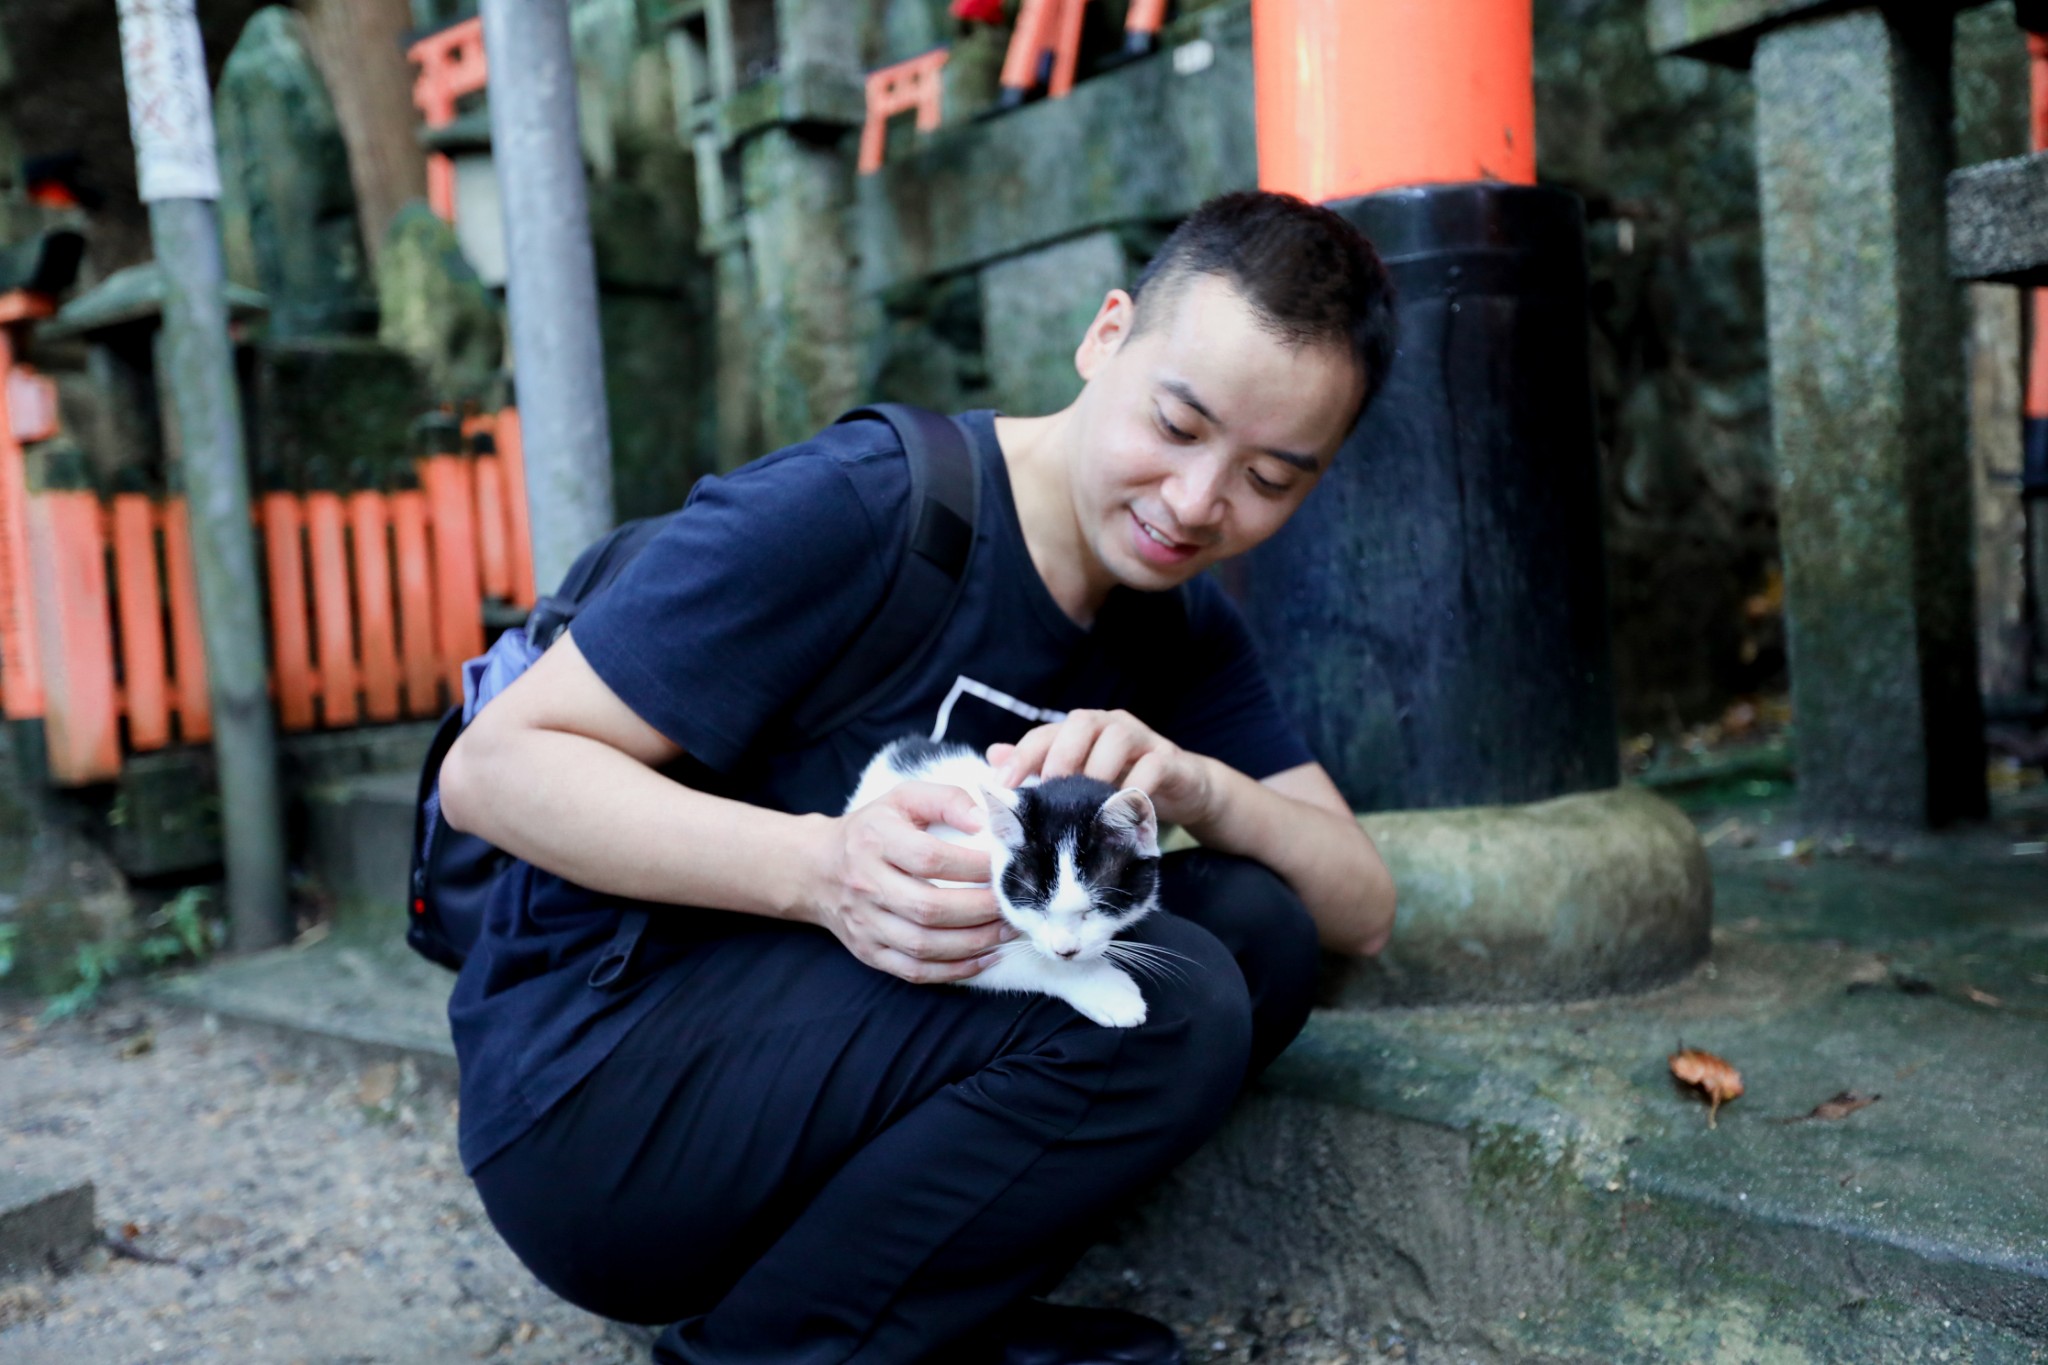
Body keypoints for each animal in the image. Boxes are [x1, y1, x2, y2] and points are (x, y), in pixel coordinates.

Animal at [843, 736, 1171, 1023]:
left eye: (1094, 909)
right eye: (1037, 908)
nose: (1065, 951)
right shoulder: (938, 948)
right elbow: (1030, 960)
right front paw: (1106, 989)